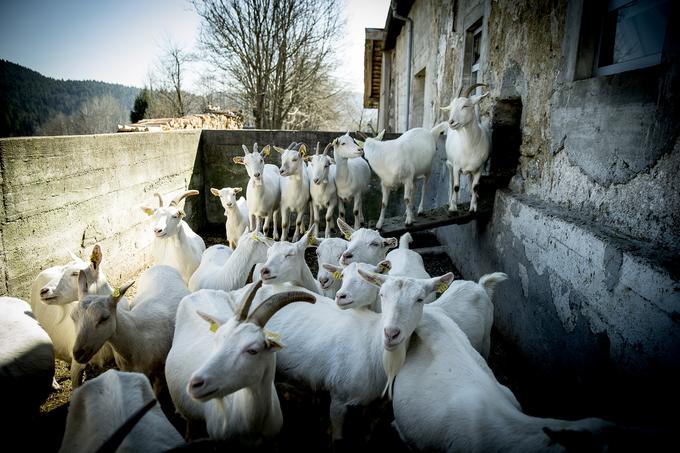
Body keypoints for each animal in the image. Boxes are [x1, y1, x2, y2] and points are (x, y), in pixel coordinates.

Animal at [438, 82, 492, 212]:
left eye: (465, 106)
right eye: (450, 108)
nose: (451, 122)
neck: (470, 146)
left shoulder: (480, 168)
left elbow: (475, 186)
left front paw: (473, 207)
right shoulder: (457, 167)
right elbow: (456, 186)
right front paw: (453, 207)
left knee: (469, 180)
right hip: (450, 164)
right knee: (451, 182)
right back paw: (450, 201)